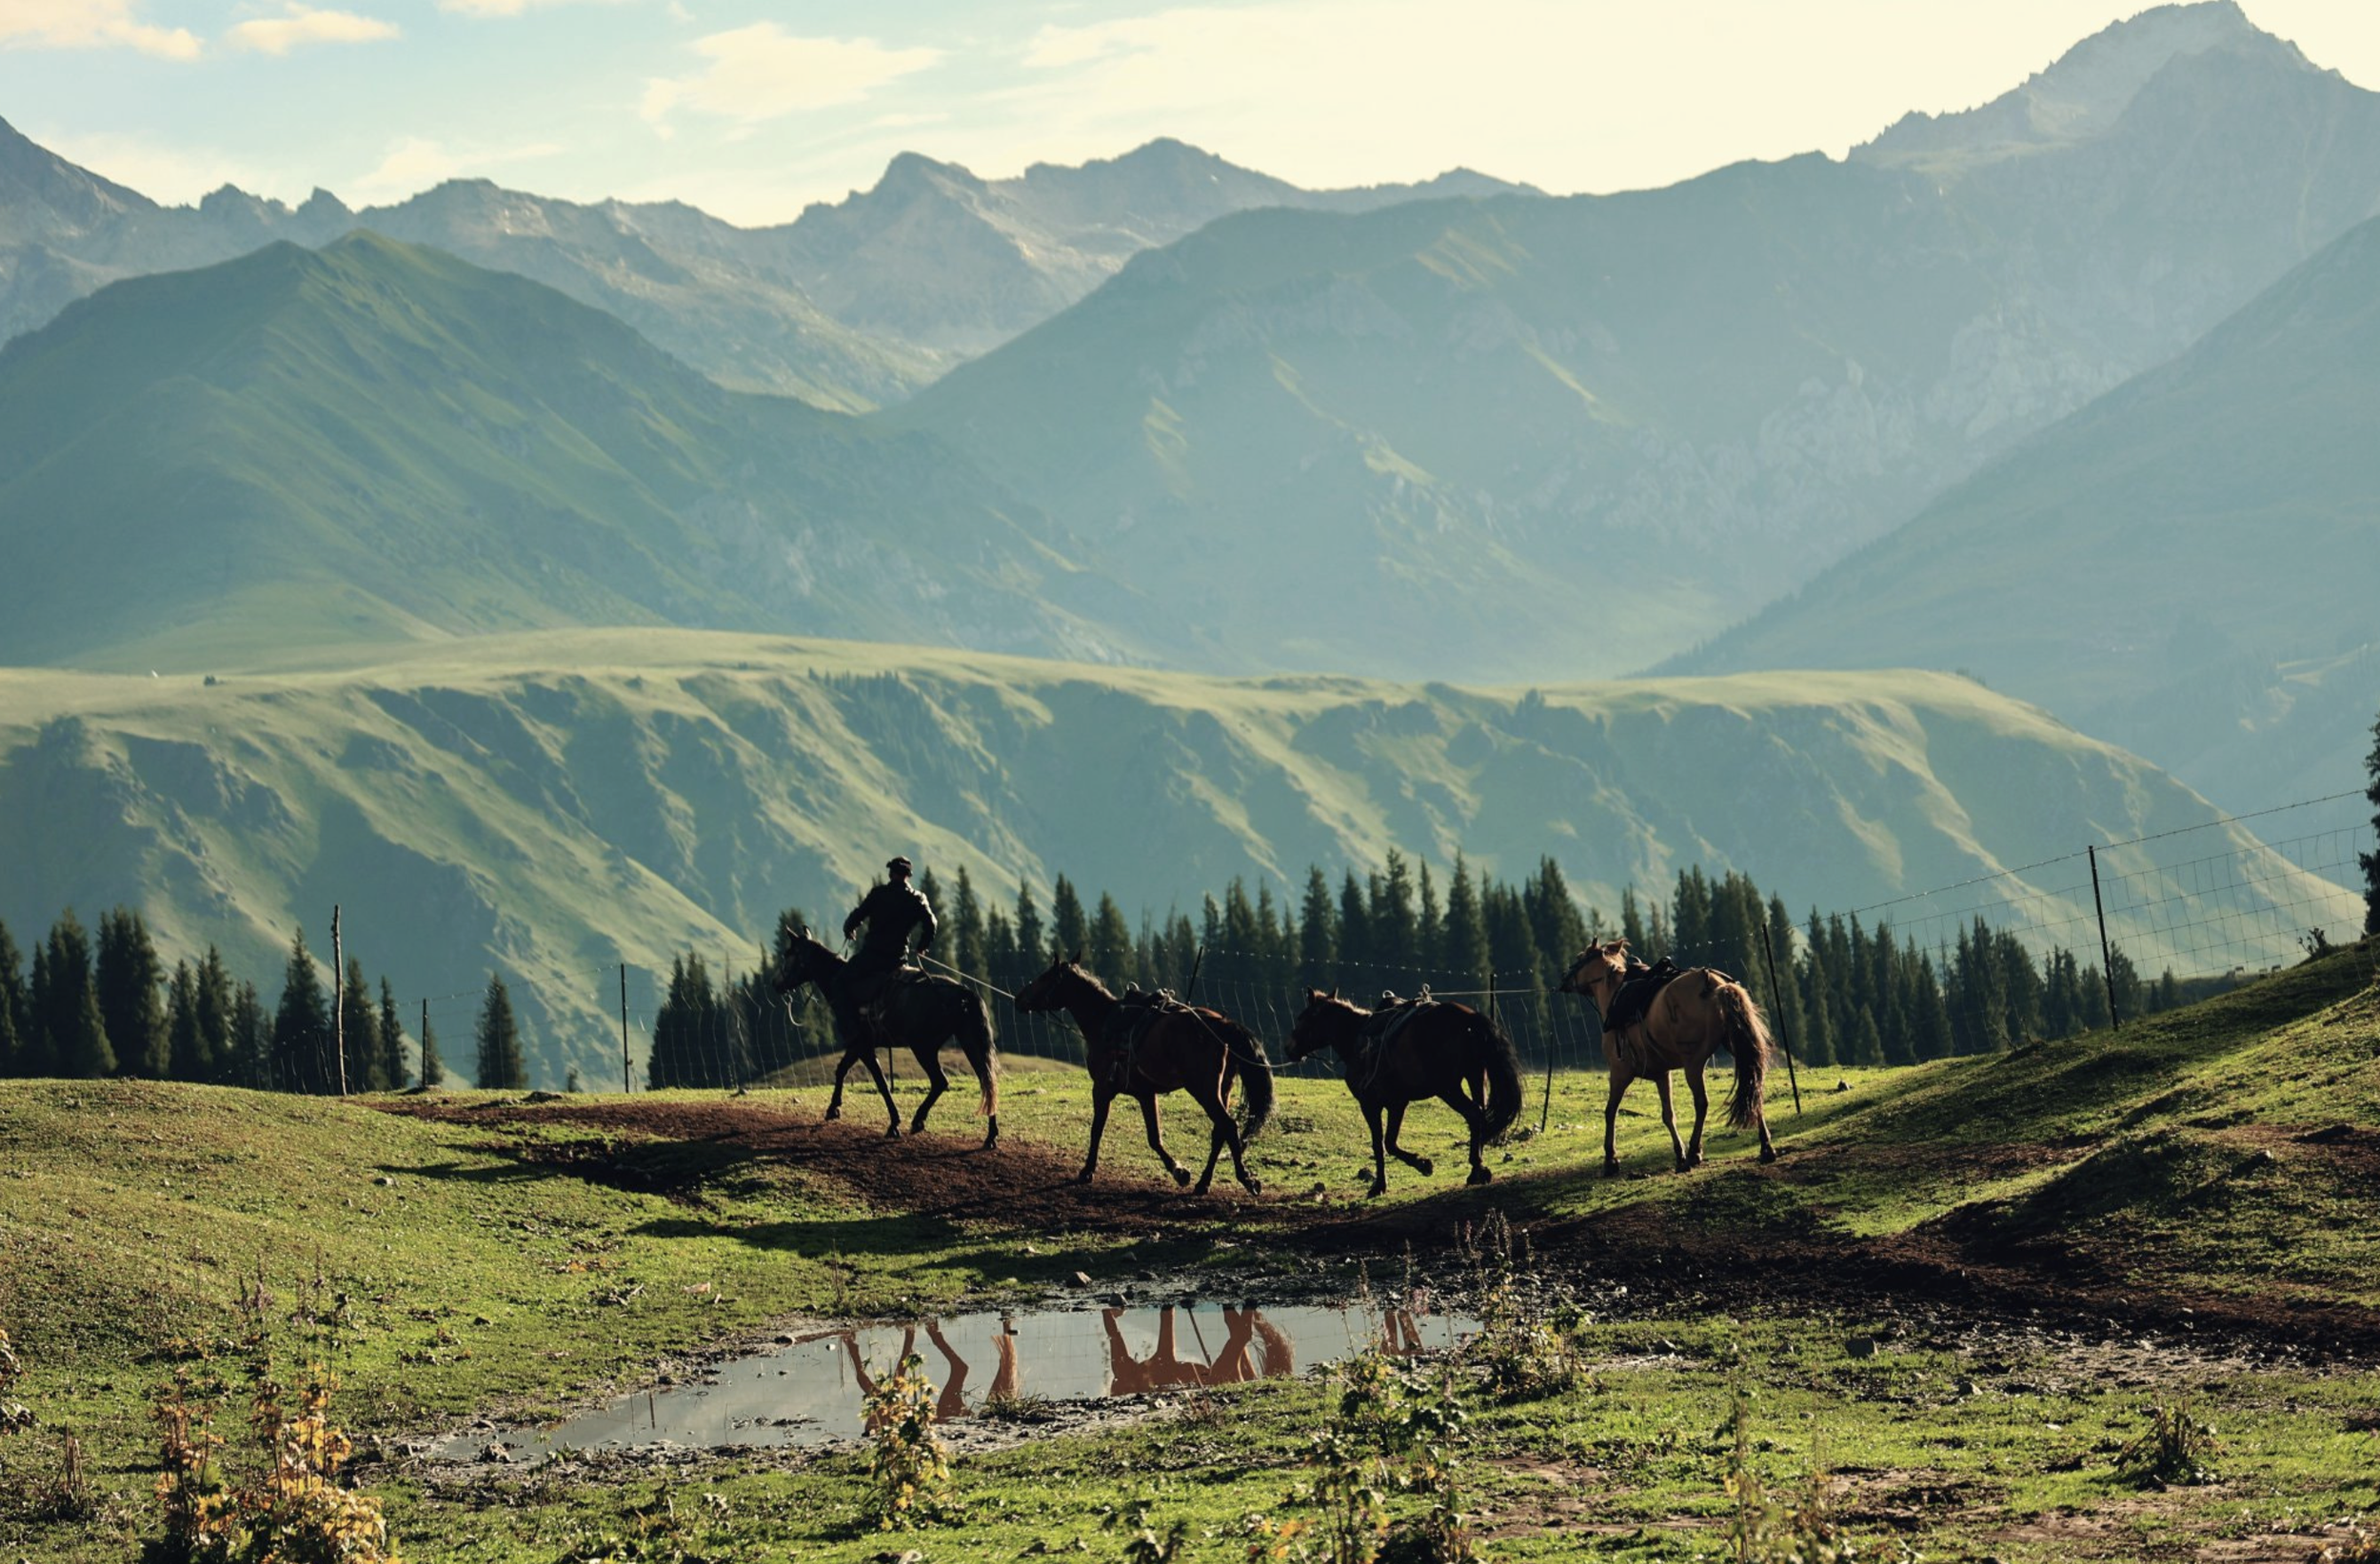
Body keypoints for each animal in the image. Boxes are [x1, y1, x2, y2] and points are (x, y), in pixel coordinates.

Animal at [770, 916, 999, 1147]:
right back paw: (990, 1136)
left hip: (923, 1048)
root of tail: (963, 992)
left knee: (941, 1081)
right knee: (986, 1079)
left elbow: (879, 1082)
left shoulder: (861, 1045)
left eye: (788, 954)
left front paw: (893, 1123)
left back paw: (918, 1120)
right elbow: (842, 1069)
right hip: (968, 1041)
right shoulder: (859, 1045)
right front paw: (834, 1108)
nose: (776, 983)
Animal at [1012, 956, 1274, 1195]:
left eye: (1045, 977)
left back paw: (1246, 1179)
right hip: (1222, 1088)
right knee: (1220, 1131)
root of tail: (1222, 1024)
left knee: (1228, 1125)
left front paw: (1087, 1170)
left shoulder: (1102, 1089)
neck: (1103, 1021)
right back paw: (1203, 1183)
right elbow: (1154, 1137)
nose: (1018, 998)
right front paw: (1179, 1171)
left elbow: (1097, 1129)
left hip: (1203, 1089)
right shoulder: (1146, 1094)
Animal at [1284, 989, 1523, 1197]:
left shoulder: (1372, 1104)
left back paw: (1475, 1170)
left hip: (1449, 1088)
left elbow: (1381, 1144)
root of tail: (1468, 1018)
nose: (1289, 1048)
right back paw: (1478, 1170)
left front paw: (1386, 1182)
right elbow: (1389, 1142)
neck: (1357, 1040)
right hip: (1475, 1077)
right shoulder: (1397, 1103)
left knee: (1473, 1114)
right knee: (1480, 1116)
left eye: (1302, 1017)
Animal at [1558, 939, 1776, 1175]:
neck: (1615, 994)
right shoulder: (1662, 1074)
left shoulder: (1619, 1073)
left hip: (1693, 1062)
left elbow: (1610, 1111)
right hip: (1739, 1049)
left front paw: (1611, 1159)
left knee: (1702, 1103)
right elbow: (1668, 1114)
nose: (1563, 979)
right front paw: (1679, 1154)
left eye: (1580, 957)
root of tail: (1716, 984)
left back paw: (1694, 1153)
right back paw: (1765, 1147)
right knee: (1753, 1088)